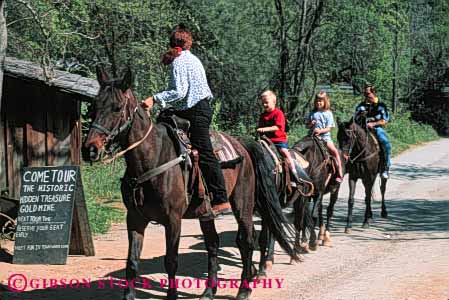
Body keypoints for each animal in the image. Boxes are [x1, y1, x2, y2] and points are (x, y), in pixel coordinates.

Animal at [83, 68, 298, 300]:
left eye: (117, 108)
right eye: (94, 107)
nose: (90, 149)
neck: (154, 157)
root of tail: (242, 144)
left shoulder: (173, 220)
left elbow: (171, 260)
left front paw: (172, 296)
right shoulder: (134, 218)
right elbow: (131, 261)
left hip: (244, 205)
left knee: (246, 241)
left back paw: (244, 288)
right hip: (206, 212)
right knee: (213, 244)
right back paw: (209, 290)